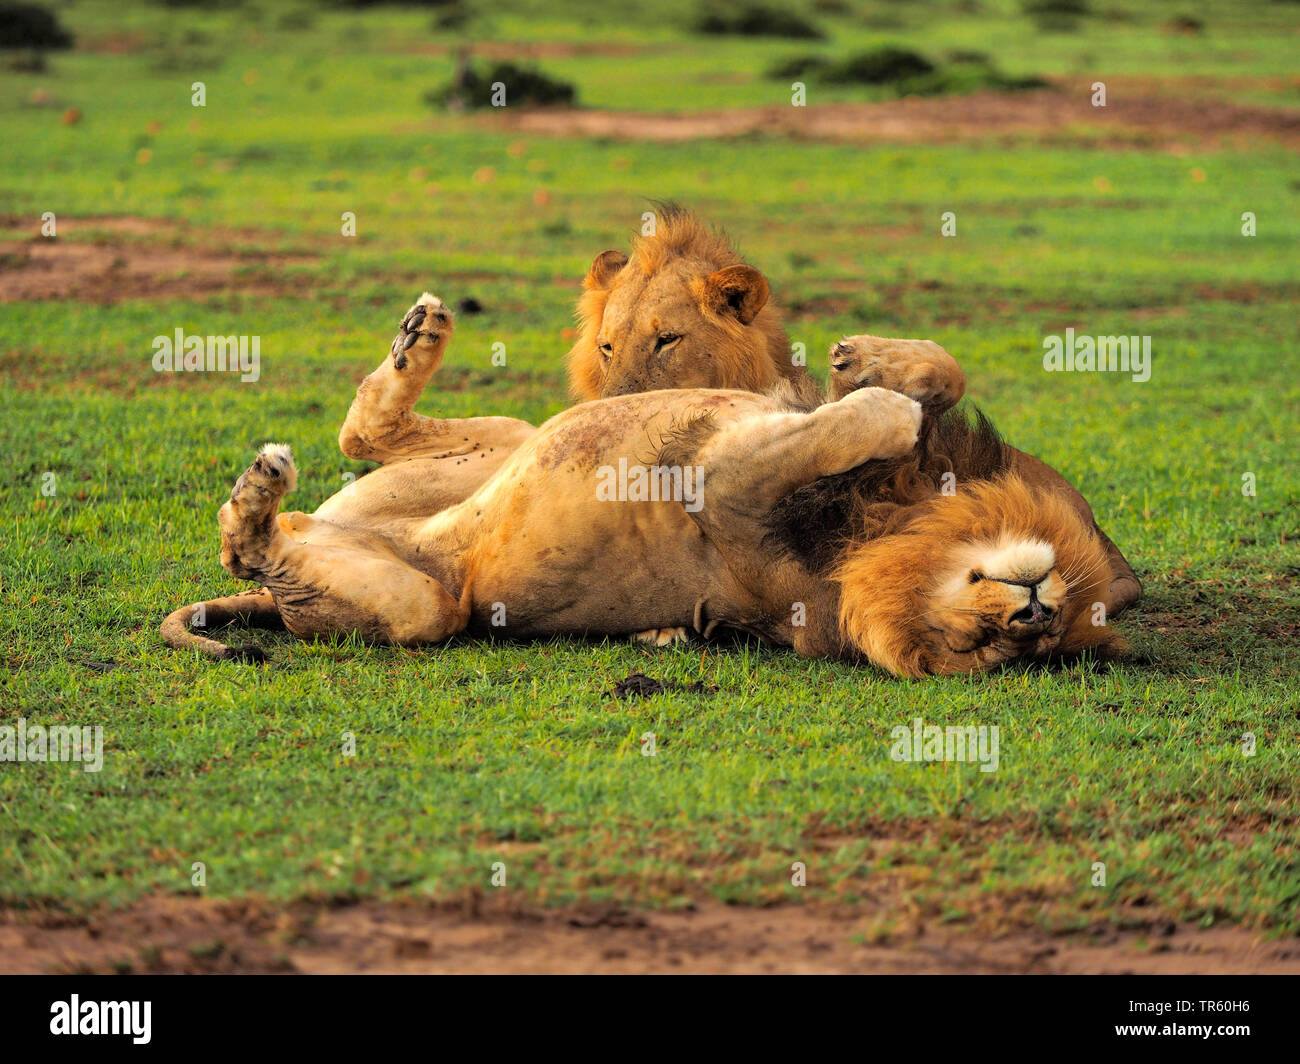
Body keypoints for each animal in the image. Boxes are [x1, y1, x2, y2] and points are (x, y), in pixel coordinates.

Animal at [162, 294, 1127, 676]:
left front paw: (875, 387)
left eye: (999, 652)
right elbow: (932, 381)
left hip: (418, 604)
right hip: (496, 449)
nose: (1031, 609)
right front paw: (867, 361)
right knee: (362, 433)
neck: (896, 523)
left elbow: (875, 417)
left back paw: (255, 498)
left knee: (260, 552)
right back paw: (416, 336)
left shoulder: (725, 486)